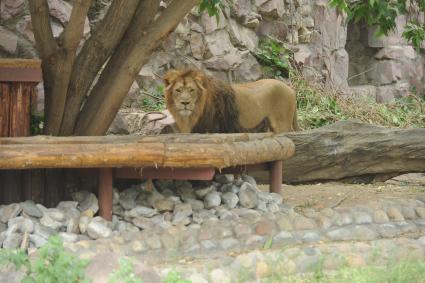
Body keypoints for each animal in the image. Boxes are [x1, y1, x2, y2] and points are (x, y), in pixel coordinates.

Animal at [162, 69, 298, 135]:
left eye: (192, 90)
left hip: (282, 124)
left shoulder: (215, 129)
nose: (185, 103)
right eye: (178, 90)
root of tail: (290, 89)